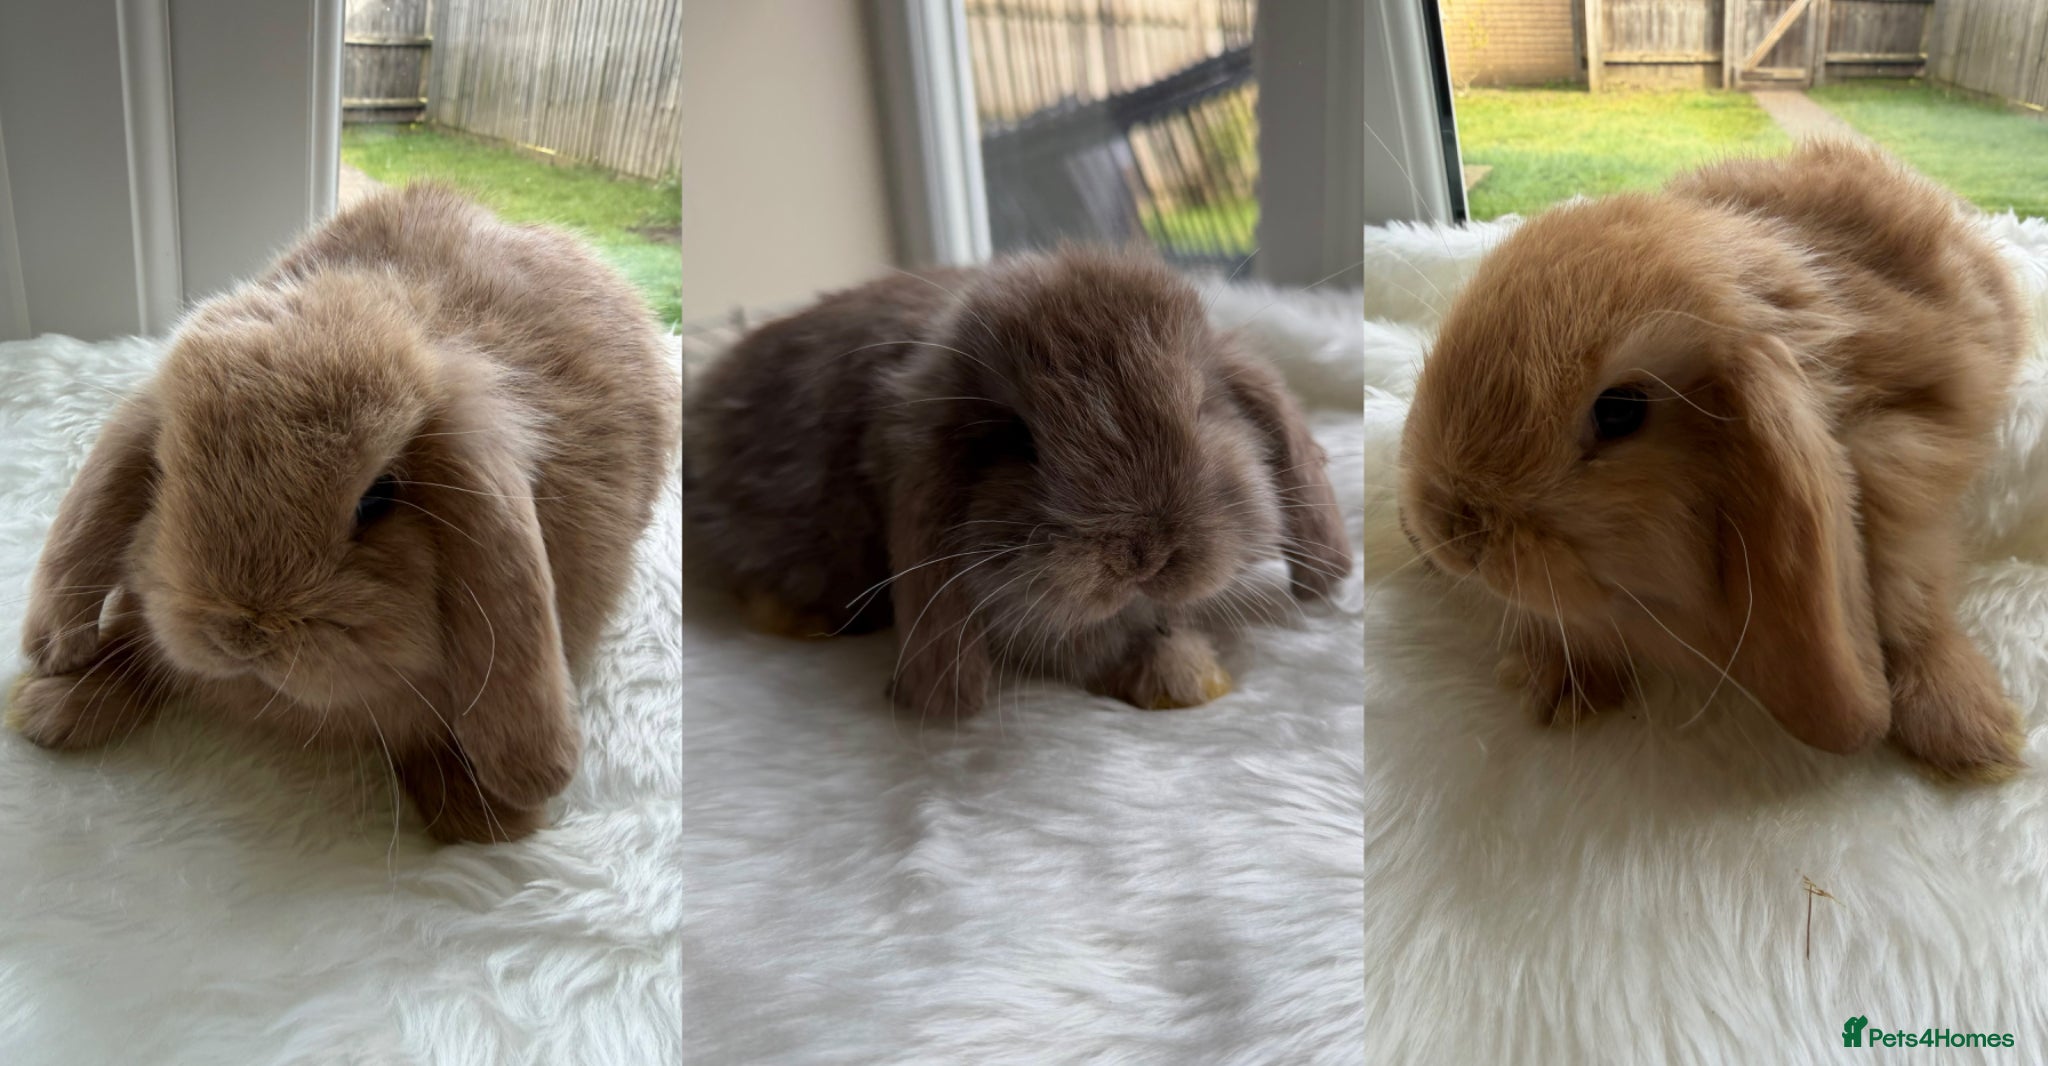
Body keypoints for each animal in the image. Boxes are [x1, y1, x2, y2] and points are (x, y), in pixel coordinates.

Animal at [683, 244, 1350, 721]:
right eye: (1016, 440)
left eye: (1202, 408)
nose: (1144, 555)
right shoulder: (1016, 612)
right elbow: (1090, 643)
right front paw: (1186, 680)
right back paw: (804, 619)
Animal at [1397, 139, 2029, 781]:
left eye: (1620, 411)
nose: (1450, 531)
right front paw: (1554, 686)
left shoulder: (1907, 481)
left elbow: (1913, 608)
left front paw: (1971, 737)